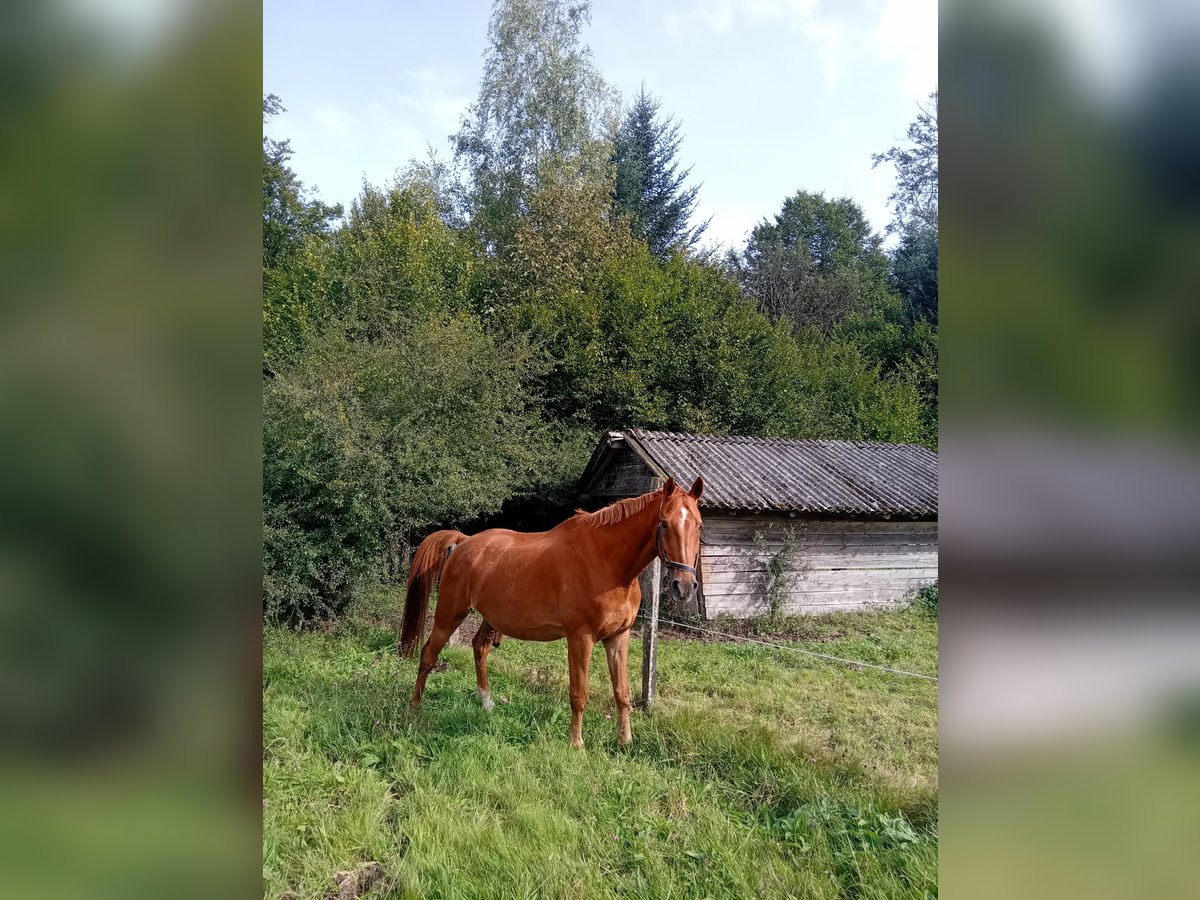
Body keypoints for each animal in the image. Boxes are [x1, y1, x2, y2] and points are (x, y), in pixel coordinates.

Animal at [400, 475, 700, 748]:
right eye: (664, 523)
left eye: (698, 525)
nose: (684, 586)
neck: (607, 563)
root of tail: (464, 541)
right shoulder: (580, 638)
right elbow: (579, 694)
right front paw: (576, 744)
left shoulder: (618, 637)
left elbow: (622, 693)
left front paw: (624, 741)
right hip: (449, 614)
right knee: (428, 654)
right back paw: (415, 706)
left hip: (490, 616)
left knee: (479, 648)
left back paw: (486, 702)